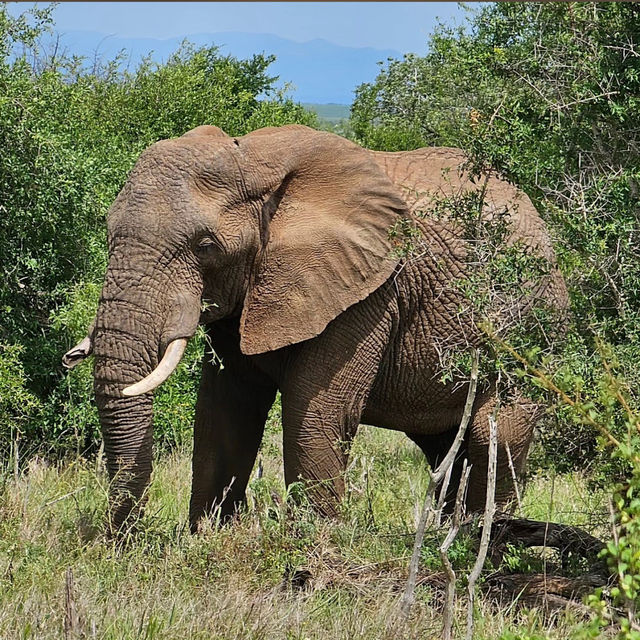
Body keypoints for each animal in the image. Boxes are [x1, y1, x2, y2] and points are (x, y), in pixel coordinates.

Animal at [62, 124, 568, 528]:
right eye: (108, 231)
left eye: (205, 246)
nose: (123, 540)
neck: (255, 162)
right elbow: (225, 410)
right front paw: (207, 540)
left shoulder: (368, 292)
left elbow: (316, 412)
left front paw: (312, 555)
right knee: (445, 448)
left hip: (534, 323)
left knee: (495, 434)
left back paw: (486, 541)